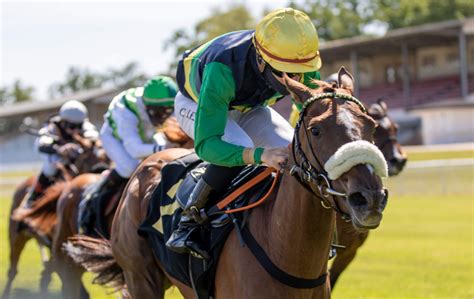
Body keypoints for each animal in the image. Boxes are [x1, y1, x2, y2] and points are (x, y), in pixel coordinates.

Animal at [67, 68, 388, 299]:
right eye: (316, 130)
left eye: (371, 126)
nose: (369, 198)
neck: (286, 251)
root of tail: (142, 169)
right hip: (140, 278)